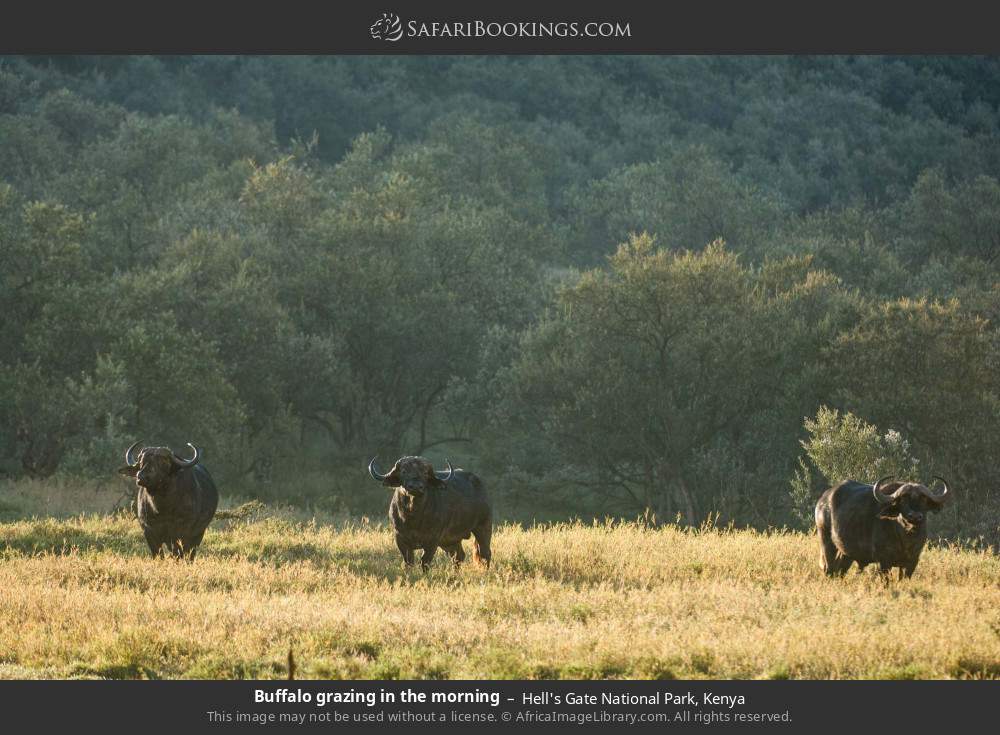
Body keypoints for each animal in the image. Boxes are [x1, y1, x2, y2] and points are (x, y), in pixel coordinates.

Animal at [815, 475, 951, 579]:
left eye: (923, 499)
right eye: (903, 500)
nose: (915, 516)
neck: (905, 538)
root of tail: (823, 499)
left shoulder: (912, 562)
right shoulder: (884, 562)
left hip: (846, 553)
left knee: (840, 570)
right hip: (826, 541)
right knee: (829, 569)